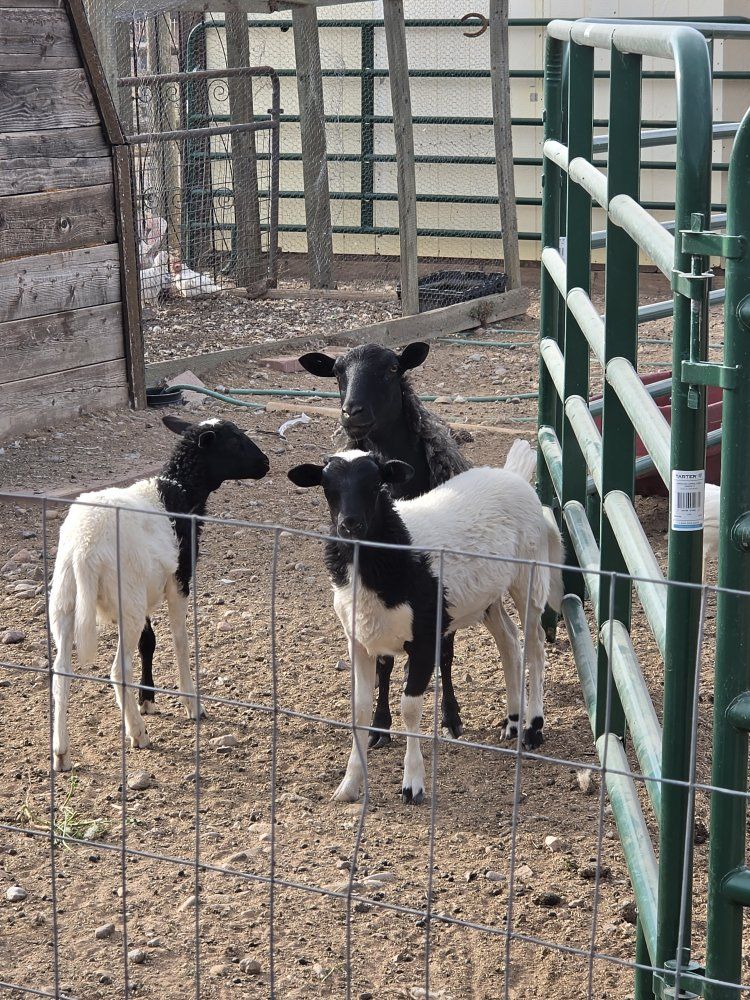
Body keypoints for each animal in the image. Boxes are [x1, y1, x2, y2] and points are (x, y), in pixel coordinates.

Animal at [49, 416, 270, 772]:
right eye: (235, 441)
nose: (265, 464)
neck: (178, 493)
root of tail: (84, 548)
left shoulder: (146, 587)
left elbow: (149, 642)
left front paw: (147, 699)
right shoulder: (178, 580)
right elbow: (180, 641)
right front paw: (192, 703)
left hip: (67, 601)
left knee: (60, 673)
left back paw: (61, 752)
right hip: (125, 601)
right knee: (118, 670)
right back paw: (137, 733)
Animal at [288, 448, 564, 805]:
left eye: (377, 484)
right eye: (327, 486)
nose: (350, 524)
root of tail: (513, 474)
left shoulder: (423, 639)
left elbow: (410, 709)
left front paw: (413, 785)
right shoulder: (359, 642)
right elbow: (360, 710)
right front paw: (349, 785)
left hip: (529, 577)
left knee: (536, 647)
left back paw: (533, 728)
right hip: (487, 598)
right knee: (509, 641)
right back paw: (513, 722)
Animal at [298, 341, 472, 748]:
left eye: (392, 369)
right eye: (336, 373)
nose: (352, 412)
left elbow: (445, 653)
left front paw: (451, 716)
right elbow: (382, 663)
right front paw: (379, 724)